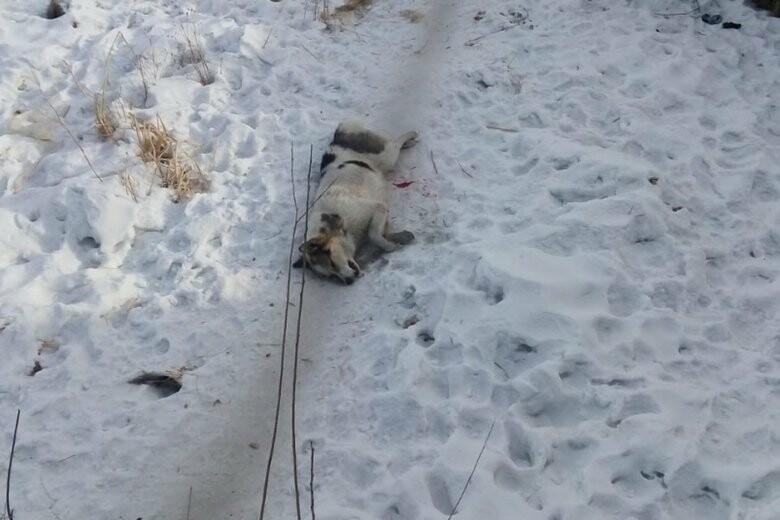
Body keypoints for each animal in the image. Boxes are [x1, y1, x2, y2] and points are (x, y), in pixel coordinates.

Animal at [292, 121, 418, 284]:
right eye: (331, 275)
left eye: (332, 263)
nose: (348, 281)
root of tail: (336, 140)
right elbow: (384, 233)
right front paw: (401, 238)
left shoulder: (377, 207)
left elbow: (374, 235)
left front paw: (390, 246)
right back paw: (409, 143)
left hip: (387, 156)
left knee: (395, 143)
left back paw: (412, 135)